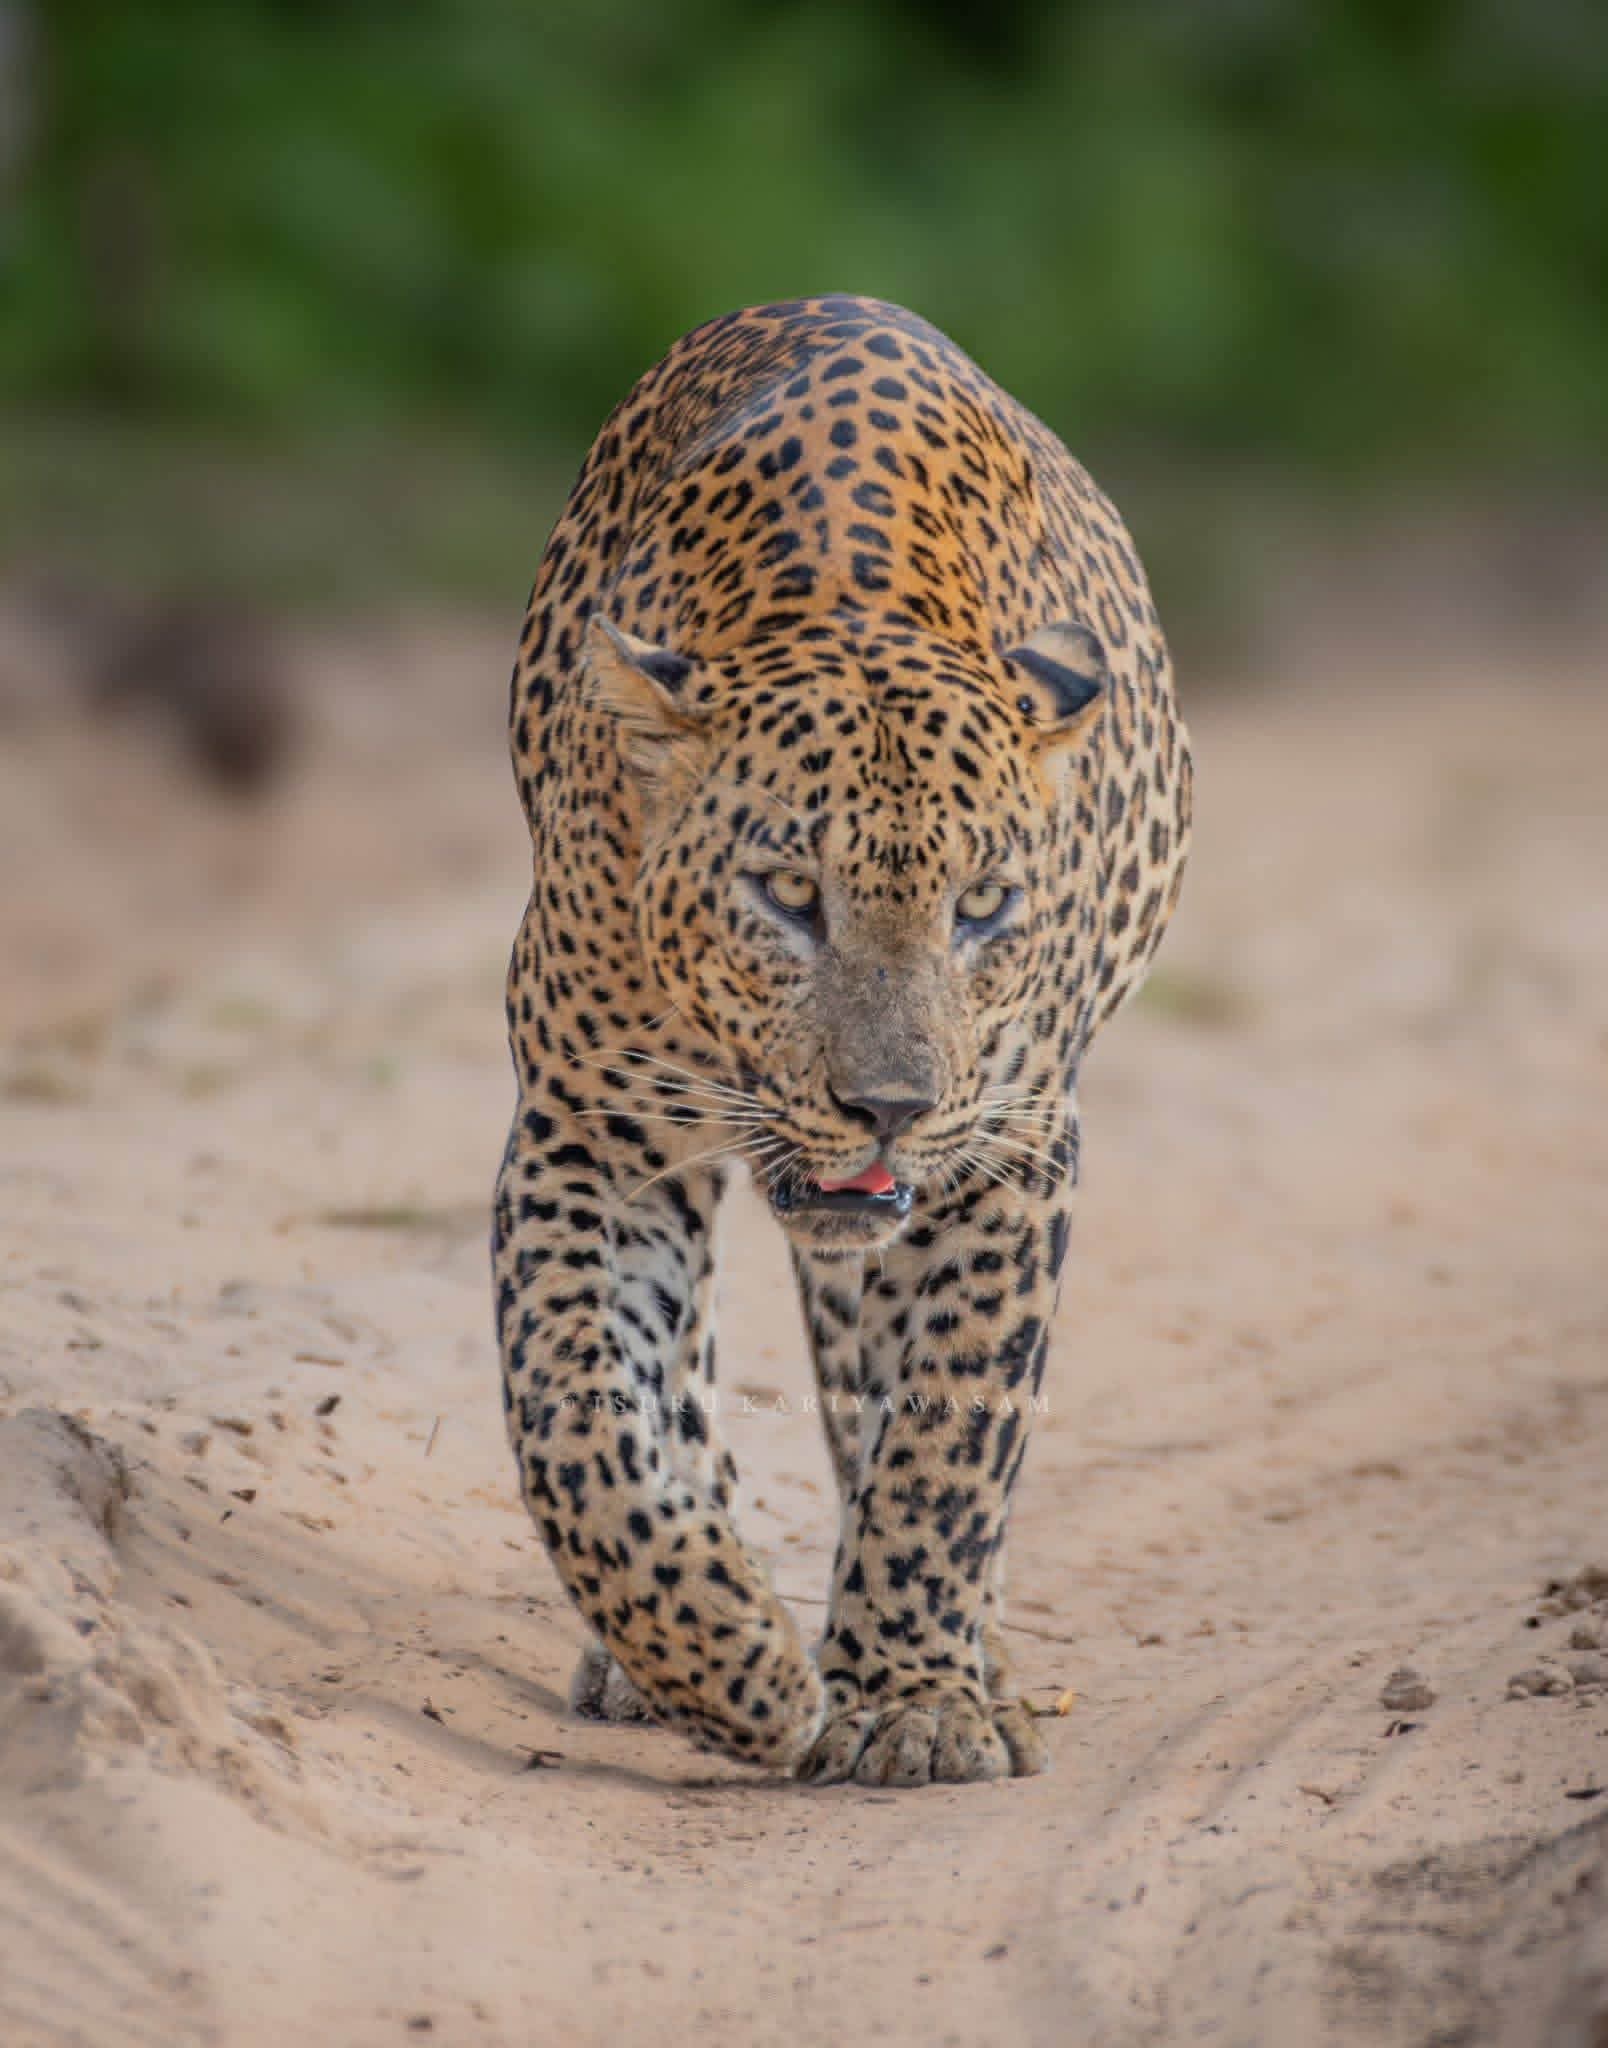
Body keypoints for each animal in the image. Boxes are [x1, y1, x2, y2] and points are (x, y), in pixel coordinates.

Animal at [493, 295, 1190, 1788]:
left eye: (983, 907)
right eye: (786, 895)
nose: (889, 1105)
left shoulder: (1009, 1152)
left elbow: (948, 1434)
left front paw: (914, 1699)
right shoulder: (591, 1130)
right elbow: (579, 1409)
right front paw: (731, 1663)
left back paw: (972, 1661)